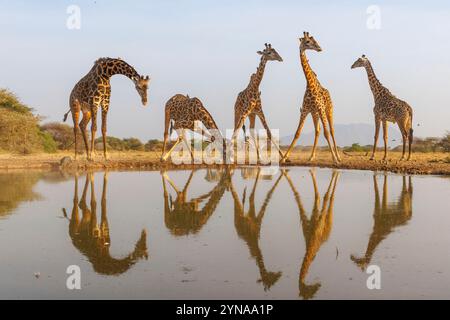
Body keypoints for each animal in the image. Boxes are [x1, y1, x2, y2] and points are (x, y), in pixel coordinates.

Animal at [282, 32, 342, 164]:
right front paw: (284, 157)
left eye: (315, 40)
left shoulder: (320, 109)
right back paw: (311, 157)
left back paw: (338, 157)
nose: (320, 48)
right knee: (317, 131)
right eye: (308, 41)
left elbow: (327, 133)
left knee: (331, 131)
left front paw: (334, 159)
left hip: (328, 110)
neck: (310, 85)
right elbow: (297, 133)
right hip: (315, 114)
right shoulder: (305, 110)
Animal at [284, 170, 340, 300]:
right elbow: (313, 198)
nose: (318, 285)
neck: (311, 240)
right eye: (309, 293)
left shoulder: (319, 220)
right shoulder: (307, 224)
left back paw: (336, 170)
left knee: (331, 199)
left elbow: (323, 197)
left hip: (328, 220)